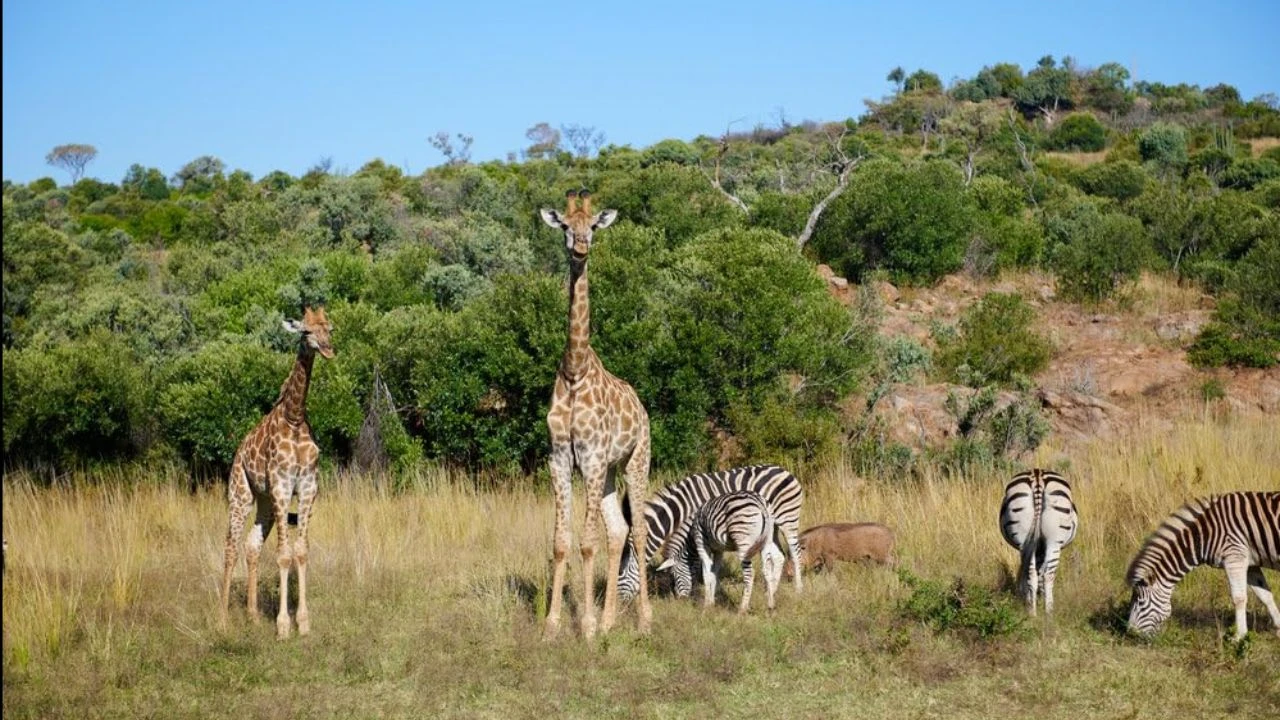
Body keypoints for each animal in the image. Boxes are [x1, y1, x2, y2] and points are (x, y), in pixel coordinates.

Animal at [221, 304, 337, 635]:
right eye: (306, 331)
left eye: (329, 328)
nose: (328, 349)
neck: (294, 417)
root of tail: (238, 452)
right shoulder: (282, 486)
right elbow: (284, 555)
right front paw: (284, 625)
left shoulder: (309, 486)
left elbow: (302, 551)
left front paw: (303, 622)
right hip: (241, 494)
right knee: (231, 546)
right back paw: (222, 620)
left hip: (264, 502)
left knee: (251, 545)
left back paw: (252, 615)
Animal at [540, 188, 655, 635]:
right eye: (564, 227)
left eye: (592, 226)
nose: (581, 248)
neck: (575, 370)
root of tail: (642, 407)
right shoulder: (559, 458)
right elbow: (560, 543)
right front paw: (553, 624)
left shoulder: (588, 459)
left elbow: (586, 543)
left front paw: (585, 626)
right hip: (608, 473)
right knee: (619, 531)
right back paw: (609, 622)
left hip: (635, 461)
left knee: (638, 530)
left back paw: (644, 619)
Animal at [616, 458, 798, 599]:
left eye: (620, 575)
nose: (620, 605)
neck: (682, 507)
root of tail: (784, 471)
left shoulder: (697, 523)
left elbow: (700, 562)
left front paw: (704, 591)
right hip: (771, 527)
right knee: (779, 555)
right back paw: (771, 591)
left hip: (788, 518)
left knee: (795, 552)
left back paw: (799, 591)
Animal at [998, 468, 1080, 614]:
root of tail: (1037, 477)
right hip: (1054, 542)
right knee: (1048, 575)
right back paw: (1048, 613)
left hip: (1025, 540)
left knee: (1032, 574)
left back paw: (1033, 614)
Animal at [1131, 486, 1280, 638]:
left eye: (1140, 603)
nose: (1130, 632)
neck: (1205, 533)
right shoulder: (1250, 564)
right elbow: (1265, 596)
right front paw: (1279, 628)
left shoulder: (1234, 557)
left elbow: (1238, 598)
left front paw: (1239, 636)